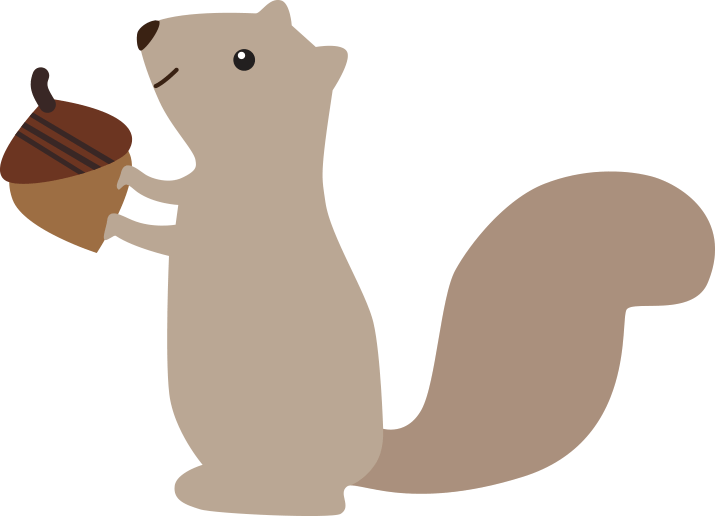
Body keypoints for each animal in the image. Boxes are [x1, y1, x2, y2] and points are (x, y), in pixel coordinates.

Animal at [103, 1, 715, 515]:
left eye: (244, 58)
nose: (145, 28)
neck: (249, 160)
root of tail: (370, 458)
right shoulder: (194, 190)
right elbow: (168, 190)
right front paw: (129, 178)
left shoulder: (212, 230)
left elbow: (163, 237)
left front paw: (116, 223)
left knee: (319, 502)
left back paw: (226, 495)